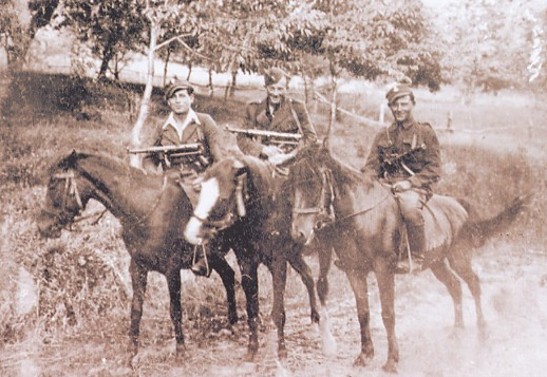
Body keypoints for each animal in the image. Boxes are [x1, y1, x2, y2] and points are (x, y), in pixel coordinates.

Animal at [36, 151, 238, 362]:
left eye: (53, 183)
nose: (42, 225)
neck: (143, 208)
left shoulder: (172, 269)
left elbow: (175, 309)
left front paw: (181, 349)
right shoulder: (138, 267)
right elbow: (136, 309)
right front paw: (131, 353)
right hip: (214, 256)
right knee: (228, 276)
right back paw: (232, 324)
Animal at [184, 154, 322, 360]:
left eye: (223, 198)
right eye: (201, 195)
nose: (192, 231)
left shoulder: (278, 262)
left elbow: (278, 312)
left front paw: (281, 350)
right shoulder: (247, 263)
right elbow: (252, 309)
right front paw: (252, 347)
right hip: (293, 254)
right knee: (308, 275)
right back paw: (314, 317)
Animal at [288, 143, 528, 370]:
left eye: (313, 181)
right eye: (293, 183)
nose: (298, 233)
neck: (363, 216)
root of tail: (459, 205)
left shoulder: (384, 270)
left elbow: (388, 314)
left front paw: (392, 360)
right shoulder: (354, 271)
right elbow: (363, 312)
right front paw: (365, 355)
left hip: (459, 257)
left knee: (473, 284)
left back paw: (482, 330)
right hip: (437, 263)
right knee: (455, 286)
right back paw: (457, 330)